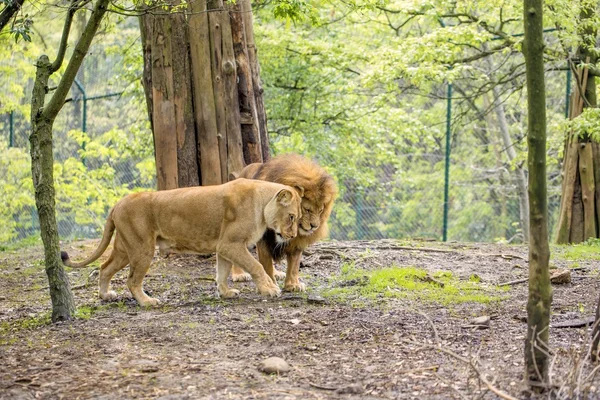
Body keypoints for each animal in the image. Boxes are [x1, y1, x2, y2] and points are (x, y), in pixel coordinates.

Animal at [62, 179, 300, 306]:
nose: (293, 235)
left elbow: (222, 272)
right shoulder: (230, 243)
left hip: (124, 249)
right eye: (291, 217)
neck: (262, 203)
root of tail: (118, 203)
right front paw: (269, 288)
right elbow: (256, 266)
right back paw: (147, 302)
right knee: (132, 280)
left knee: (104, 268)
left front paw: (225, 293)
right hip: (142, 248)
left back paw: (105, 295)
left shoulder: (223, 247)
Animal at [230, 153, 336, 290]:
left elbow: (294, 265)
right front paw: (271, 285)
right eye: (307, 209)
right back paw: (239, 274)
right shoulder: (264, 238)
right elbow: (266, 264)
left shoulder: (297, 241)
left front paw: (293, 285)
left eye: (321, 210)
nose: (314, 226)